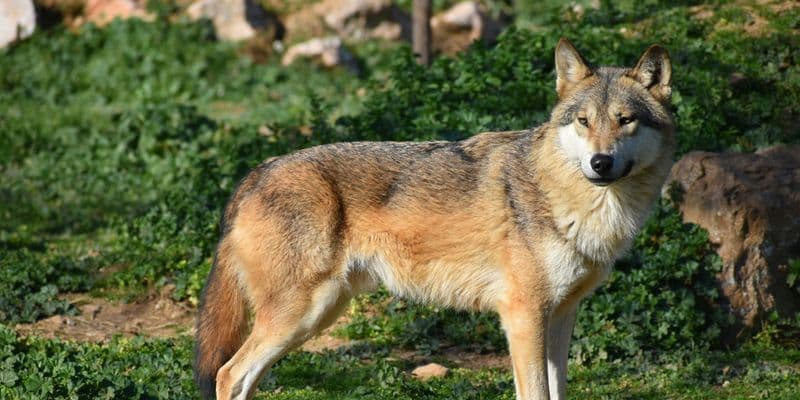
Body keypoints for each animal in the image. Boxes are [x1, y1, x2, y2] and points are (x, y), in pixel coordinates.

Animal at [195, 38, 676, 400]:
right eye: (583, 121)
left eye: (625, 121)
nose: (600, 162)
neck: (567, 201)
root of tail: (255, 173)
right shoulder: (523, 317)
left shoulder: (561, 315)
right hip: (300, 314)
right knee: (227, 374)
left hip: (315, 316)